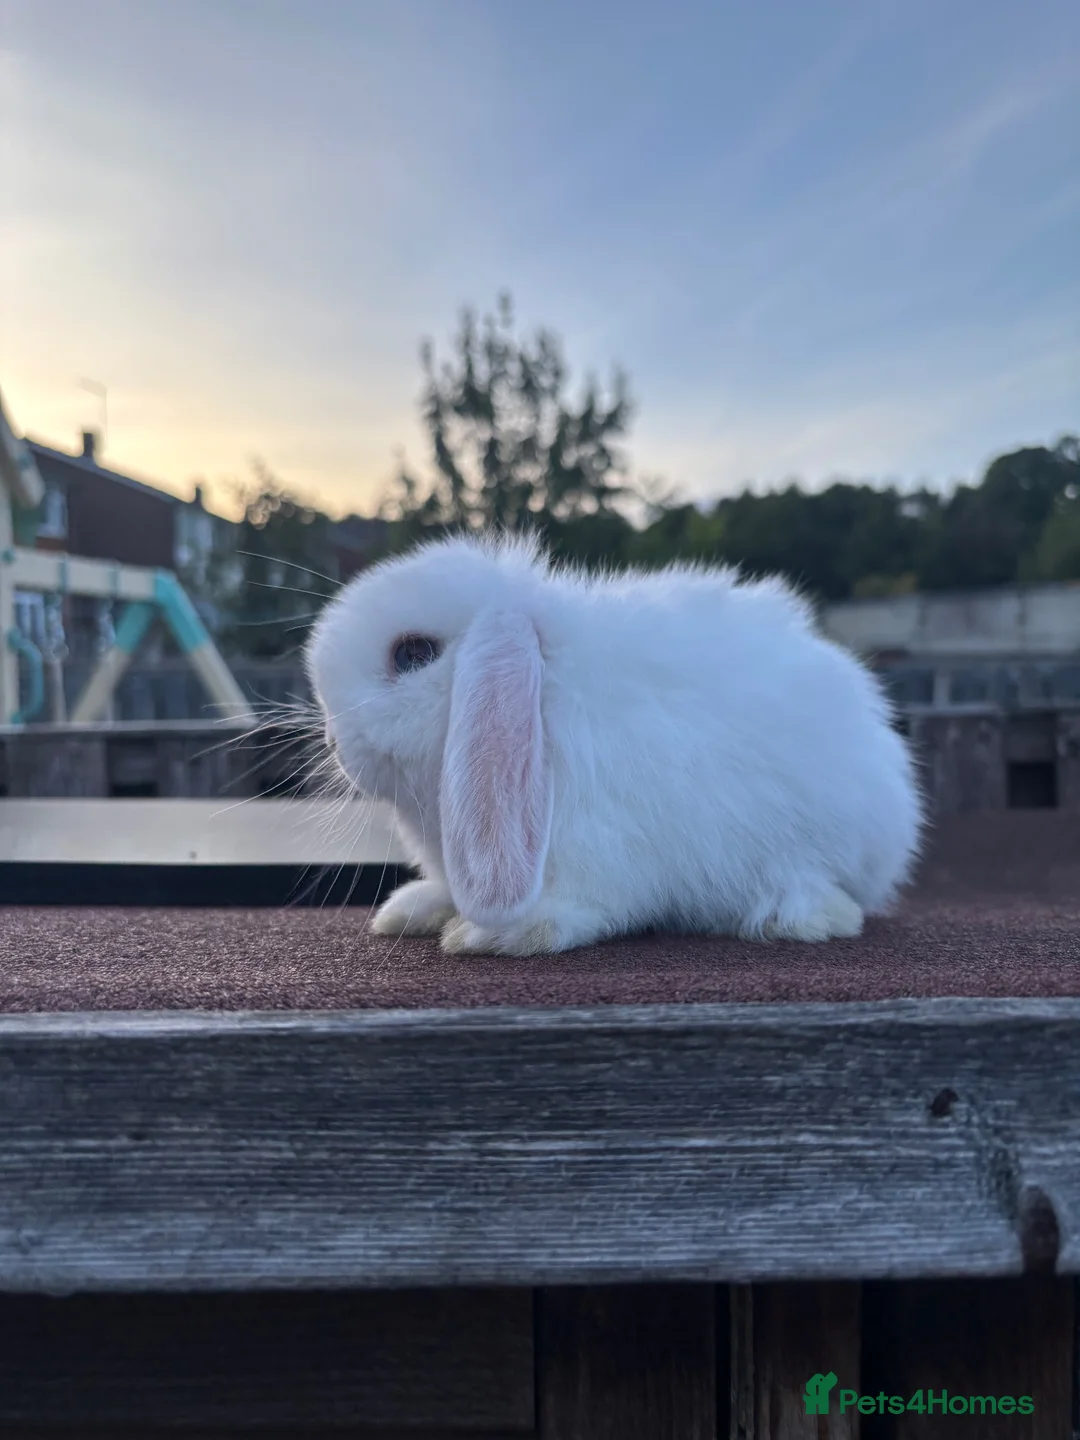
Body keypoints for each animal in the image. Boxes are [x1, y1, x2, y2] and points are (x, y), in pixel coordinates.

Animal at [304, 528, 924, 956]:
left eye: (413, 653)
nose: (334, 741)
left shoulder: (601, 855)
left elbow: (583, 907)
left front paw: (498, 934)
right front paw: (412, 909)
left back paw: (792, 916)